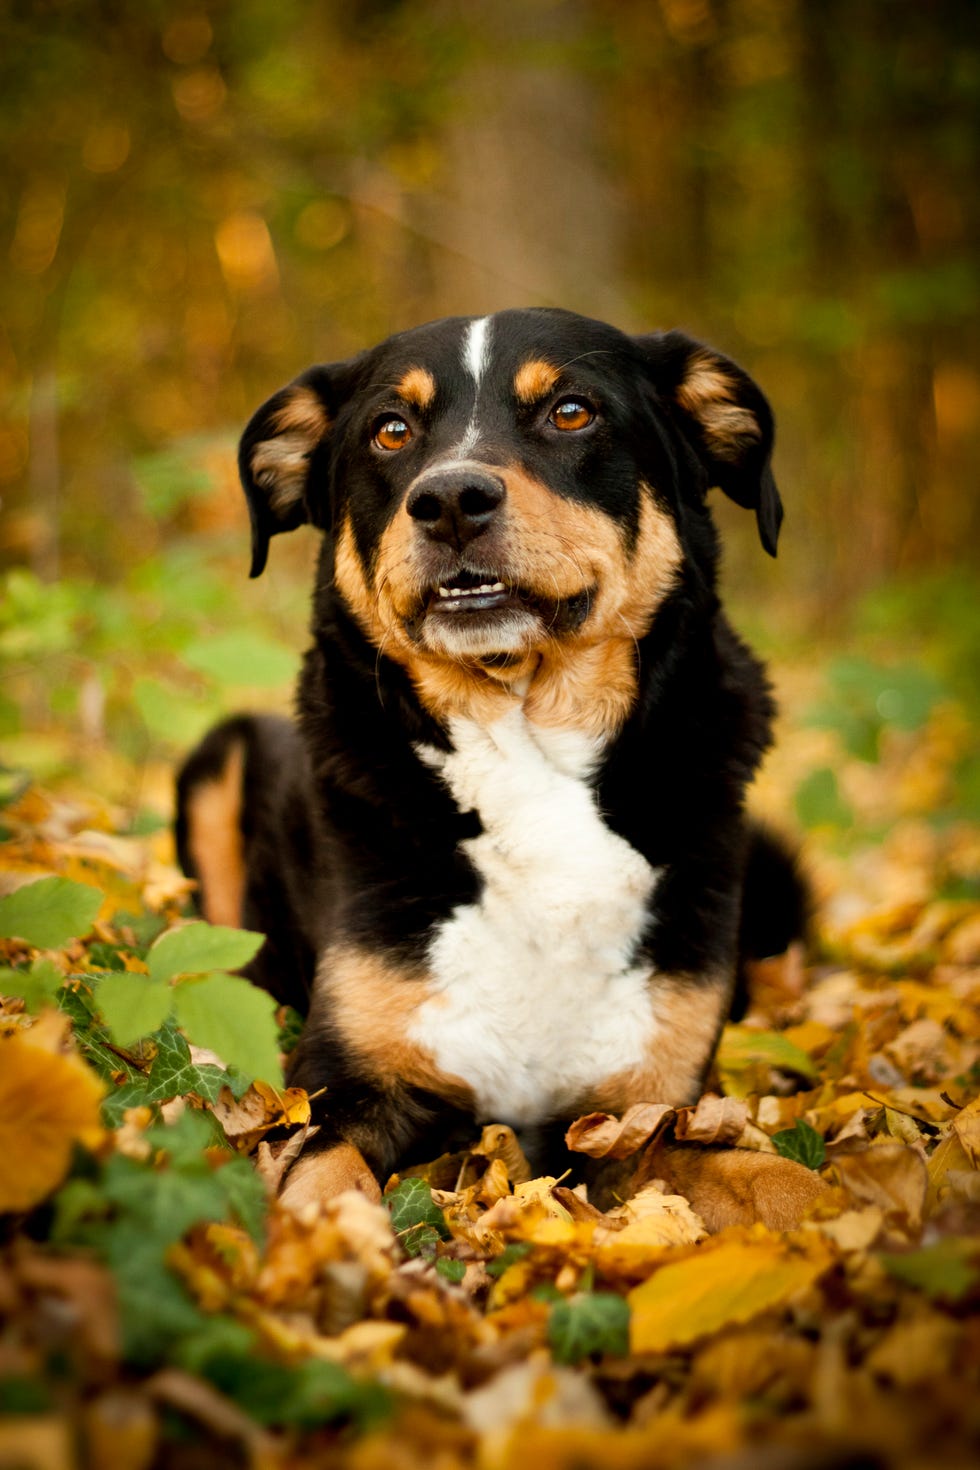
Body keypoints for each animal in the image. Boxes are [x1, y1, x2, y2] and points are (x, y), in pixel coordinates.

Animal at [176, 307, 805, 1205]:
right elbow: (328, 1187)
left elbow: (771, 1177)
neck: (528, 744)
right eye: (391, 430)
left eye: (572, 412)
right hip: (221, 757)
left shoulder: (642, 1110)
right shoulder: (345, 1086)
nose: (449, 501)